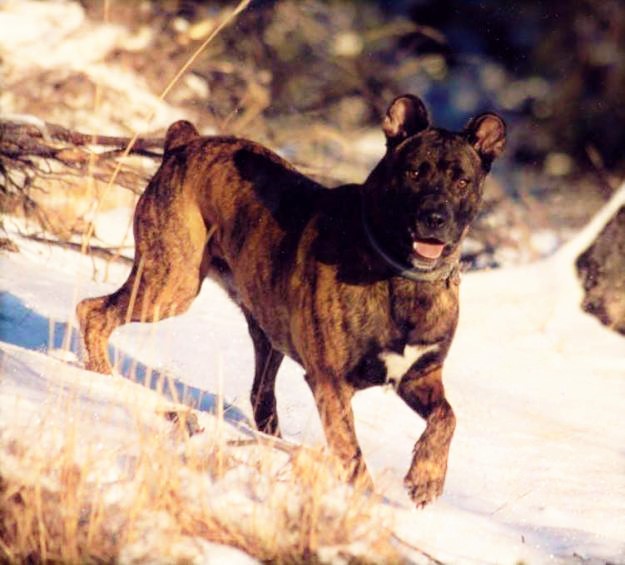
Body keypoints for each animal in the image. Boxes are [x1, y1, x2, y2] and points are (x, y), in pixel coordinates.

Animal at [79, 94, 508, 504]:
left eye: (462, 181)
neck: (400, 275)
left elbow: (446, 418)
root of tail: (183, 144)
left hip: (264, 328)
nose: (434, 218)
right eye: (414, 172)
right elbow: (352, 453)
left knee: (260, 394)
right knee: (94, 311)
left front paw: (426, 479)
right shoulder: (331, 382)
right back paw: (100, 378)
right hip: (171, 282)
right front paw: (367, 501)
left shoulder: (419, 375)